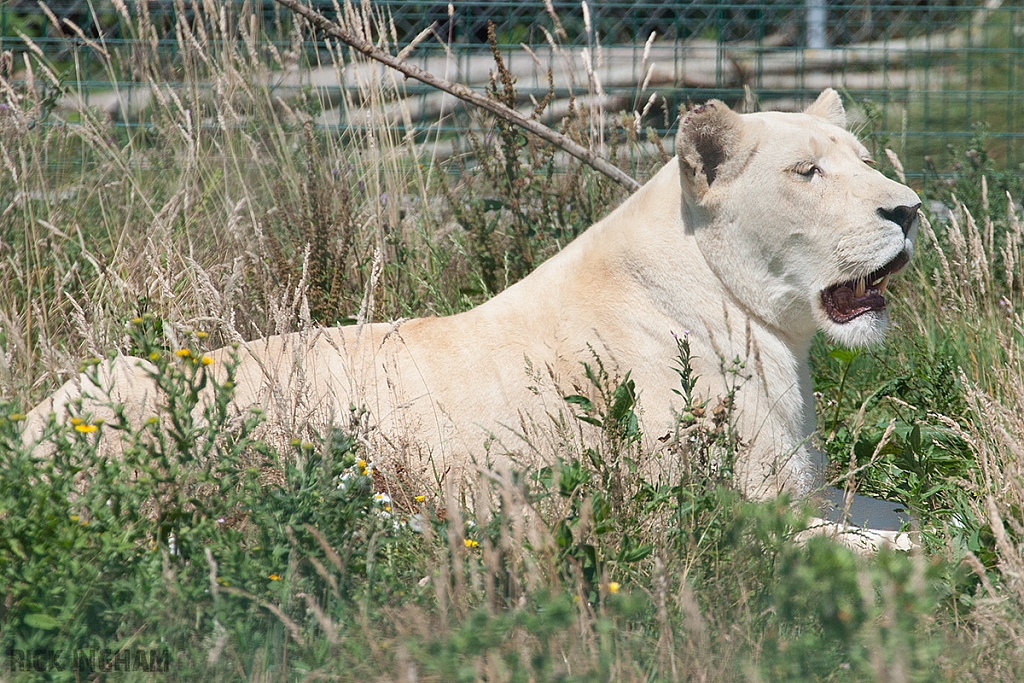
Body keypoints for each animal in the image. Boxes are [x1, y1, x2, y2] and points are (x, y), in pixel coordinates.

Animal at [22, 89, 921, 548]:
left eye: (862, 157)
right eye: (807, 172)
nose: (909, 209)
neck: (769, 332)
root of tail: (32, 427)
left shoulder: (804, 483)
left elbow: (893, 511)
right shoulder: (697, 509)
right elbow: (870, 543)